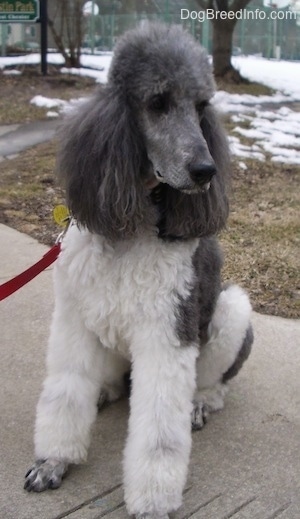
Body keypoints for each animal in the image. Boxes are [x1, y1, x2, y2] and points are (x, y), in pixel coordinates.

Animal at [24, 23, 253, 519]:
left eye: (202, 106)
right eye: (158, 102)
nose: (205, 170)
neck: (132, 227)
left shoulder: (167, 335)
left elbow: (160, 435)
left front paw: (151, 503)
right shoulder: (73, 321)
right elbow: (65, 393)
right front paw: (54, 460)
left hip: (231, 311)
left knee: (215, 384)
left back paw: (200, 404)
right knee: (107, 381)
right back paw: (105, 390)